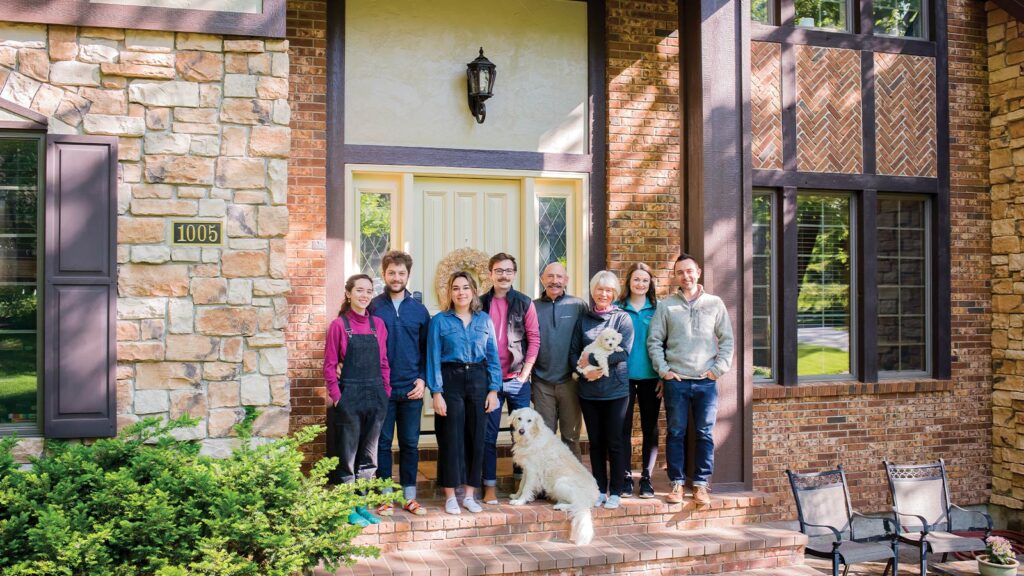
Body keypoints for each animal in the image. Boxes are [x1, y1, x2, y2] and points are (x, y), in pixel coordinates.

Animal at [509, 403, 602, 541]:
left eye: (529, 421)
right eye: (519, 418)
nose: (521, 431)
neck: (533, 437)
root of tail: (595, 495)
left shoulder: (532, 470)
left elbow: (526, 488)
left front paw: (520, 502)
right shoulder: (527, 468)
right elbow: (521, 485)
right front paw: (516, 496)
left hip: (560, 483)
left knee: (577, 505)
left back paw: (560, 506)